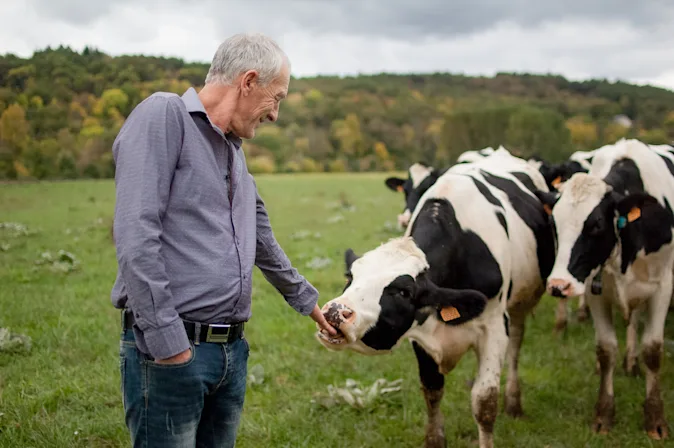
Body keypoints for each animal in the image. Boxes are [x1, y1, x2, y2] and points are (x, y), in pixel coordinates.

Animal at [317, 157, 556, 448]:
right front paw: (434, 439)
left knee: (516, 345)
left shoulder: (494, 326)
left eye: (403, 292)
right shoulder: (420, 334)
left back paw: (514, 401)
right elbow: (431, 390)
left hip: (521, 302)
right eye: (350, 276)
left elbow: (485, 402)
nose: (335, 311)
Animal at [535, 138, 674, 440]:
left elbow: (653, 351)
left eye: (597, 224)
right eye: (553, 222)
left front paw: (655, 421)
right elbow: (606, 350)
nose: (558, 285)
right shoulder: (594, 291)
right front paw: (603, 416)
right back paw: (629, 362)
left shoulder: (662, 287)